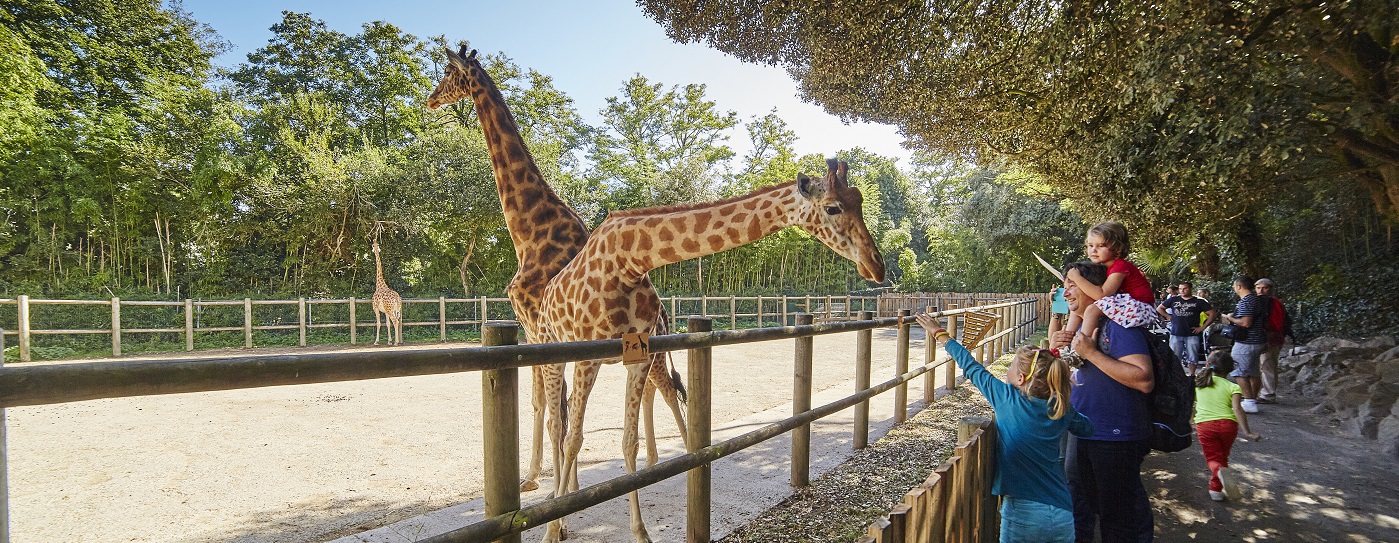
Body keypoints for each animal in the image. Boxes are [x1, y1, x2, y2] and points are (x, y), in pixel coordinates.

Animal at [422, 44, 691, 498]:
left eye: (447, 73)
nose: (430, 98)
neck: (529, 232)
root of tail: (663, 311)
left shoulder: (538, 329)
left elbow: (555, 414)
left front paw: (559, 491)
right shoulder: (537, 333)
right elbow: (547, 407)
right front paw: (542, 480)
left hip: (649, 349)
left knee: (669, 391)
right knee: (654, 393)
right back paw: (653, 463)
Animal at [534, 158, 884, 543]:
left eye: (860, 201)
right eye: (833, 207)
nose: (876, 264)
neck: (629, 260)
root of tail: (545, 296)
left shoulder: (636, 355)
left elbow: (628, 442)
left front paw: (641, 532)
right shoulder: (589, 354)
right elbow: (573, 439)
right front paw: (552, 530)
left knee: (571, 418)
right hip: (552, 351)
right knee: (557, 426)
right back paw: (559, 514)